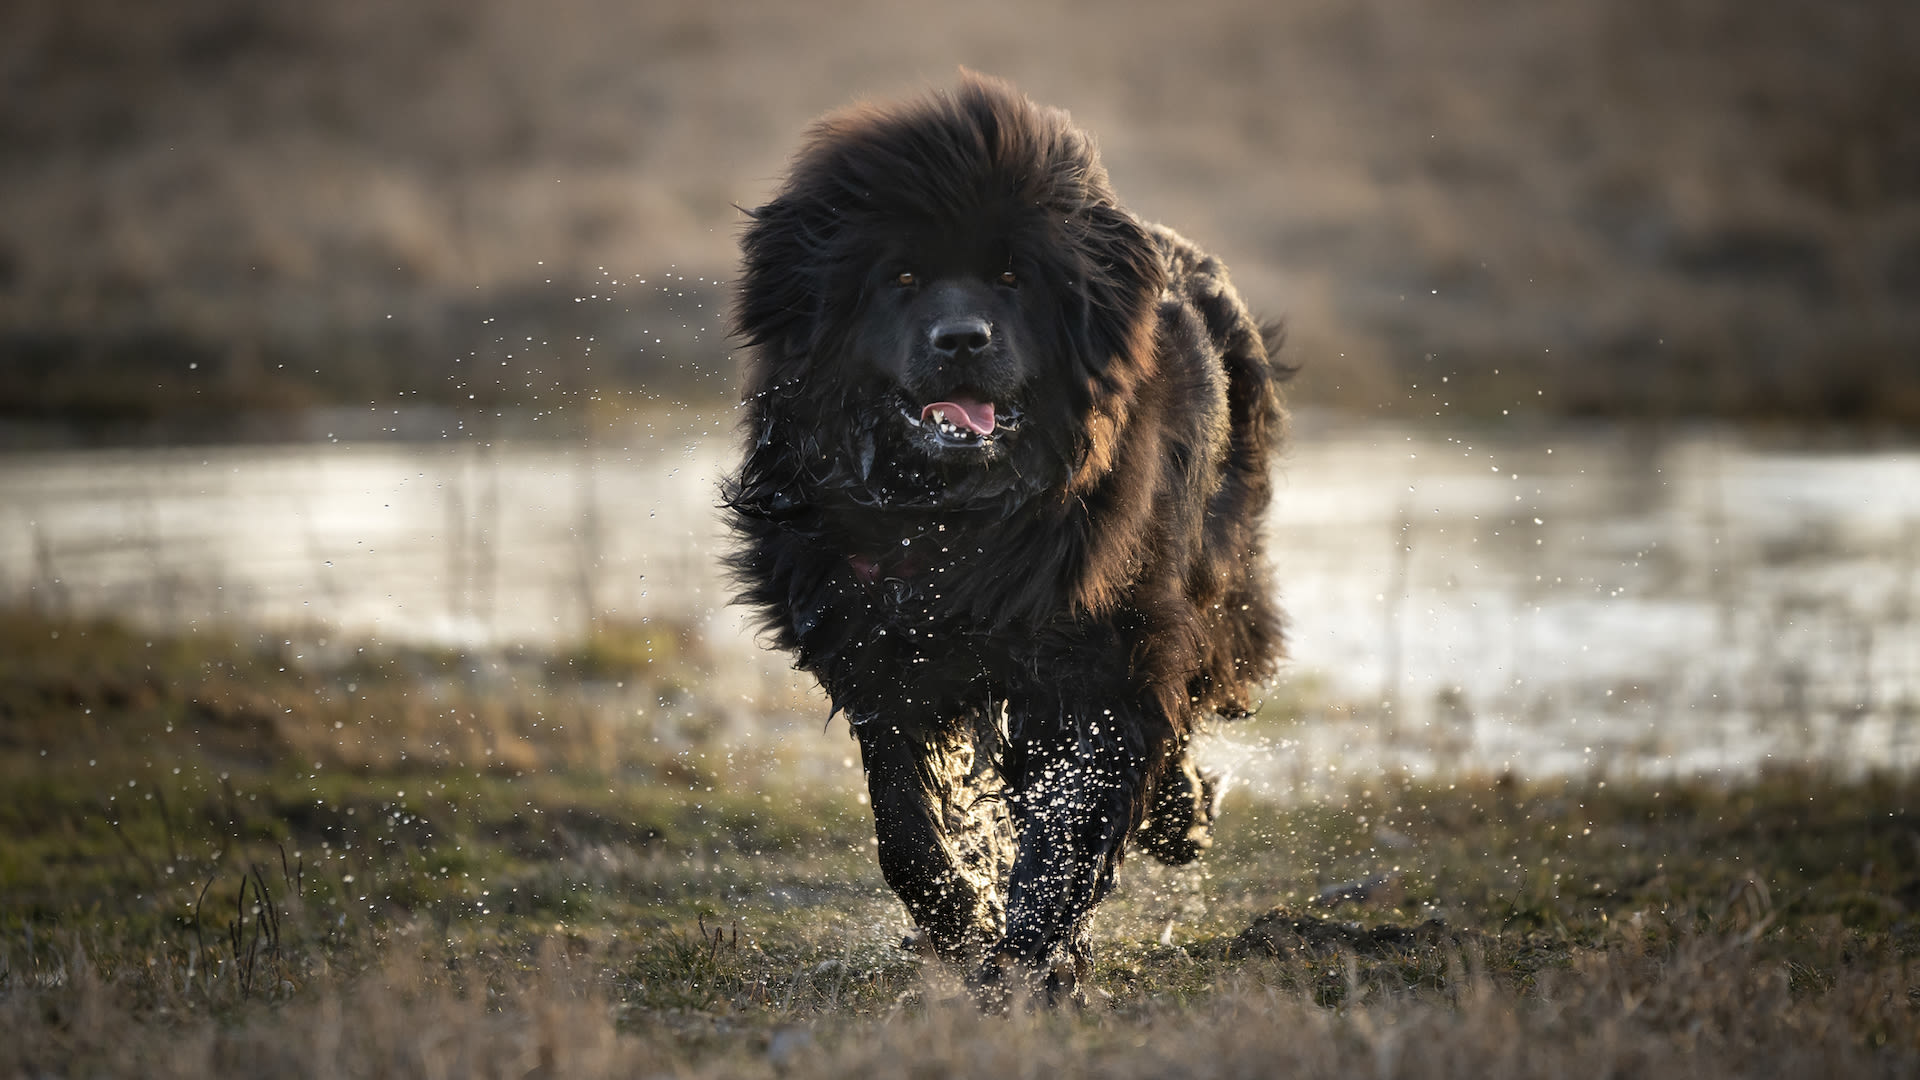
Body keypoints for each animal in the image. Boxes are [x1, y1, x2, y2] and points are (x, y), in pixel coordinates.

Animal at [721, 73, 1290, 999]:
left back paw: (1182, 817)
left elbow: (1072, 820)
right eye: (901, 276)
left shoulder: (1105, 652)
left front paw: (1029, 958)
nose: (962, 339)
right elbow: (904, 825)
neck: (957, 520)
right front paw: (962, 924)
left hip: (1212, 574)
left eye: (1014, 277)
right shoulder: (878, 650)